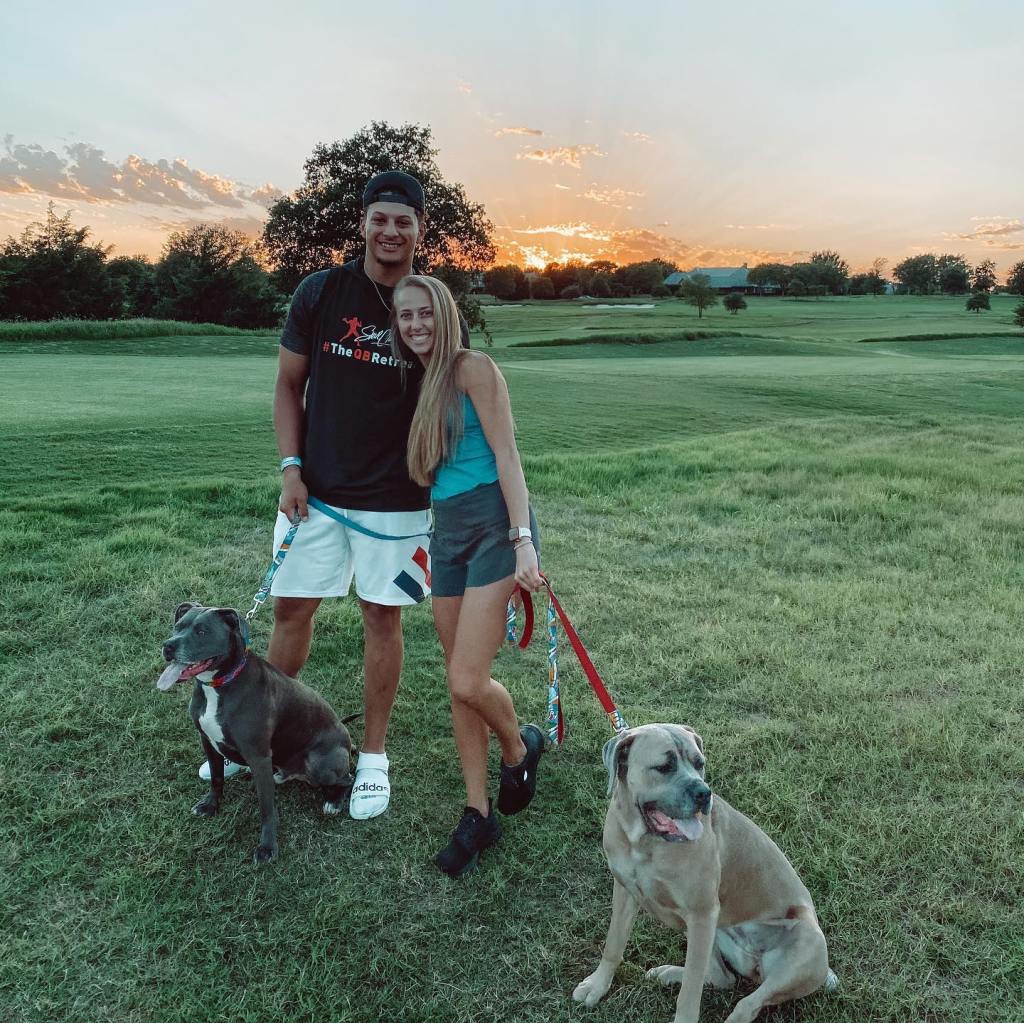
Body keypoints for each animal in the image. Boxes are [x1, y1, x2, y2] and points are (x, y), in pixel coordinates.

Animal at [157, 602, 354, 860]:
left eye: (201, 632)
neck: (220, 684)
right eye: (178, 626)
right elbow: (217, 778)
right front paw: (211, 805)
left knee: (347, 778)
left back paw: (334, 801)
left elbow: (266, 808)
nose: (168, 645)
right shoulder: (207, 741)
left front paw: (268, 847)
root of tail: (347, 737)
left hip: (319, 763)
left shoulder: (259, 756)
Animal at [573, 725, 835, 1019]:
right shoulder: (625, 891)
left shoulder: (701, 913)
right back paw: (669, 973)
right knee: (721, 977)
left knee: (746, 1004)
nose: (703, 792)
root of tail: (753, 960)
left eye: (700, 764)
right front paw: (597, 985)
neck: (645, 843)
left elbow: (690, 994)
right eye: (664, 767)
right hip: (709, 929)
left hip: (806, 941)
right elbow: (613, 945)